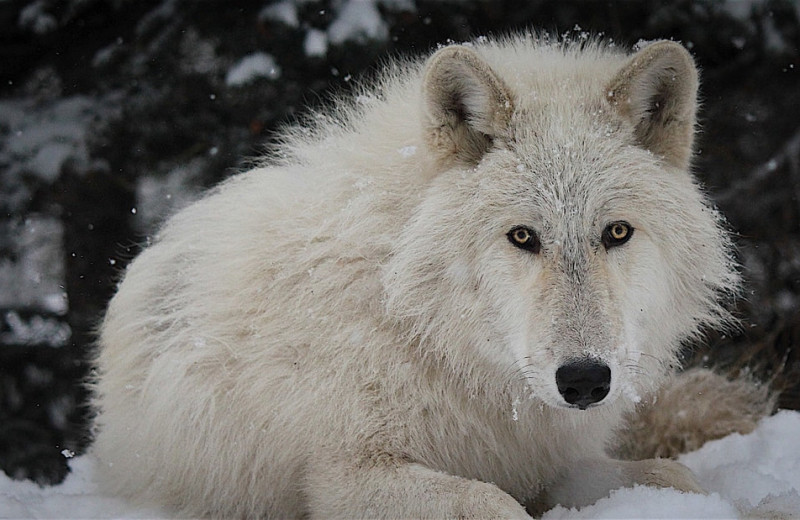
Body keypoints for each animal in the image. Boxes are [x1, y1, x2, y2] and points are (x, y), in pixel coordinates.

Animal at [94, 34, 756, 516]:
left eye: (616, 232)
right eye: (522, 237)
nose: (586, 381)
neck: (423, 324)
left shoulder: (541, 461)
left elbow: (677, 476)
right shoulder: (349, 476)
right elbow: (496, 507)